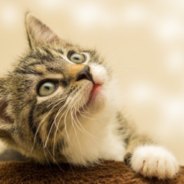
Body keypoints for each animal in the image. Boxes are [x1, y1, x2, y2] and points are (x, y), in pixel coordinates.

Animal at [0, 14, 179, 180]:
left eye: (76, 57)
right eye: (47, 88)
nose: (85, 71)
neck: (96, 133)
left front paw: (153, 155)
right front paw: (154, 157)